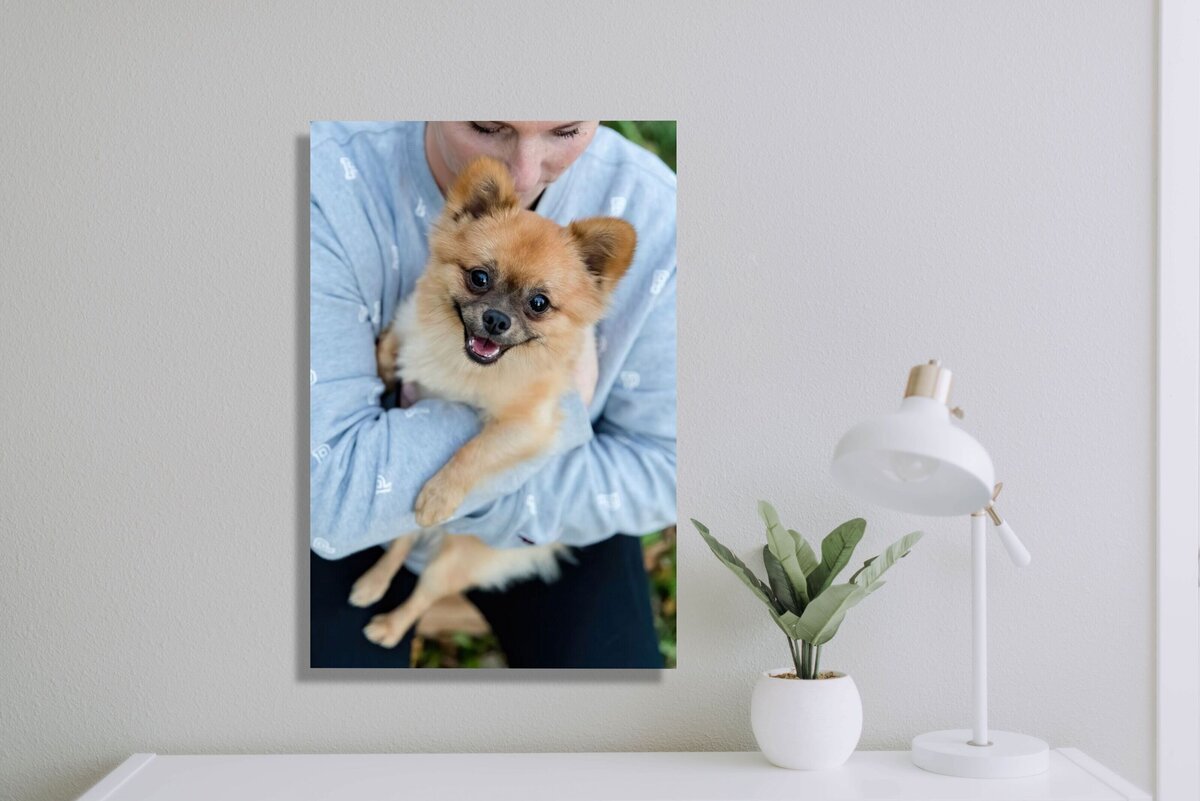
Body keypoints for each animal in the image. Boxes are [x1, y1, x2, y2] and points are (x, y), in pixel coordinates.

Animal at [348, 155, 638, 652]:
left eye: (539, 303)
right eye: (479, 278)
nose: (497, 319)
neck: (461, 364)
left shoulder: (527, 425)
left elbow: (475, 450)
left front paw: (441, 493)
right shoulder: (408, 333)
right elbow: (390, 345)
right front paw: (383, 370)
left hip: (456, 561)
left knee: (424, 594)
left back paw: (390, 625)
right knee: (401, 544)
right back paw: (372, 584)